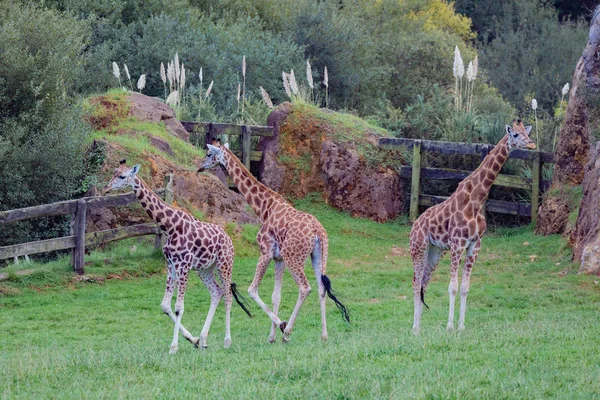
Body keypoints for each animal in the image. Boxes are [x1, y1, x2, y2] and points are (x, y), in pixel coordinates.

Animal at [103, 159, 253, 354]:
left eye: (121, 176)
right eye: (113, 172)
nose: (106, 188)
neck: (169, 226)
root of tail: (229, 239)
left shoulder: (183, 265)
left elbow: (179, 308)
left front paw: (174, 347)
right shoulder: (171, 264)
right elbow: (165, 305)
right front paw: (193, 339)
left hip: (225, 264)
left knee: (227, 295)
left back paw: (227, 341)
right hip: (205, 269)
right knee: (216, 292)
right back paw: (203, 340)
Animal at [198, 142, 346, 342]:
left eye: (208, 154)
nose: (200, 167)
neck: (264, 208)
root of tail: (317, 232)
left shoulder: (265, 251)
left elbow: (252, 290)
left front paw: (281, 326)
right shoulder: (279, 258)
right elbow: (276, 295)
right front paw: (271, 336)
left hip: (294, 257)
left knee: (305, 288)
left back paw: (288, 332)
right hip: (319, 256)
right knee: (322, 288)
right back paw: (324, 336)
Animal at [410, 119, 536, 334]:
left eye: (526, 133)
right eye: (515, 135)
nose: (532, 144)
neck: (477, 200)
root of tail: (414, 226)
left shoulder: (474, 246)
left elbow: (465, 288)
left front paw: (461, 327)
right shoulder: (457, 244)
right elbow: (452, 286)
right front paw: (449, 327)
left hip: (434, 251)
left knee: (423, 284)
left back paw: (419, 328)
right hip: (418, 248)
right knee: (416, 283)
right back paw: (414, 329)